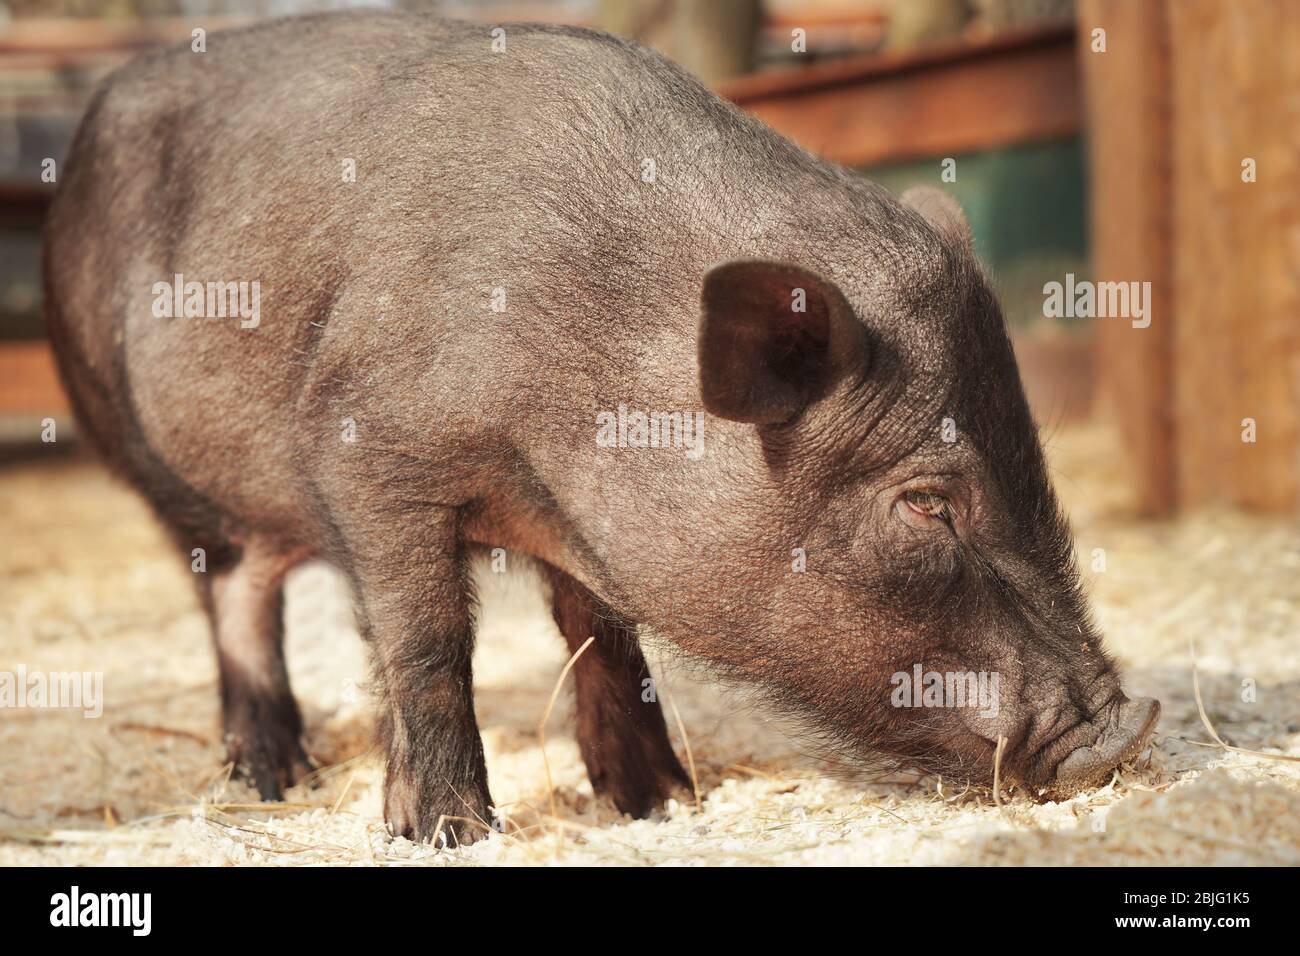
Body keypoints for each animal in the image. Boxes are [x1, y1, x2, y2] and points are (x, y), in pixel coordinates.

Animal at [44, 11, 1159, 844]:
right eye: (927, 502)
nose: (1123, 731)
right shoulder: (365, 445)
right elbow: (426, 640)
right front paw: (448, 833)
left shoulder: (580, 522)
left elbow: (603, 638)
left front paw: (659, 804)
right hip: (139, 442)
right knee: (233, 596)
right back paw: (273, 778)